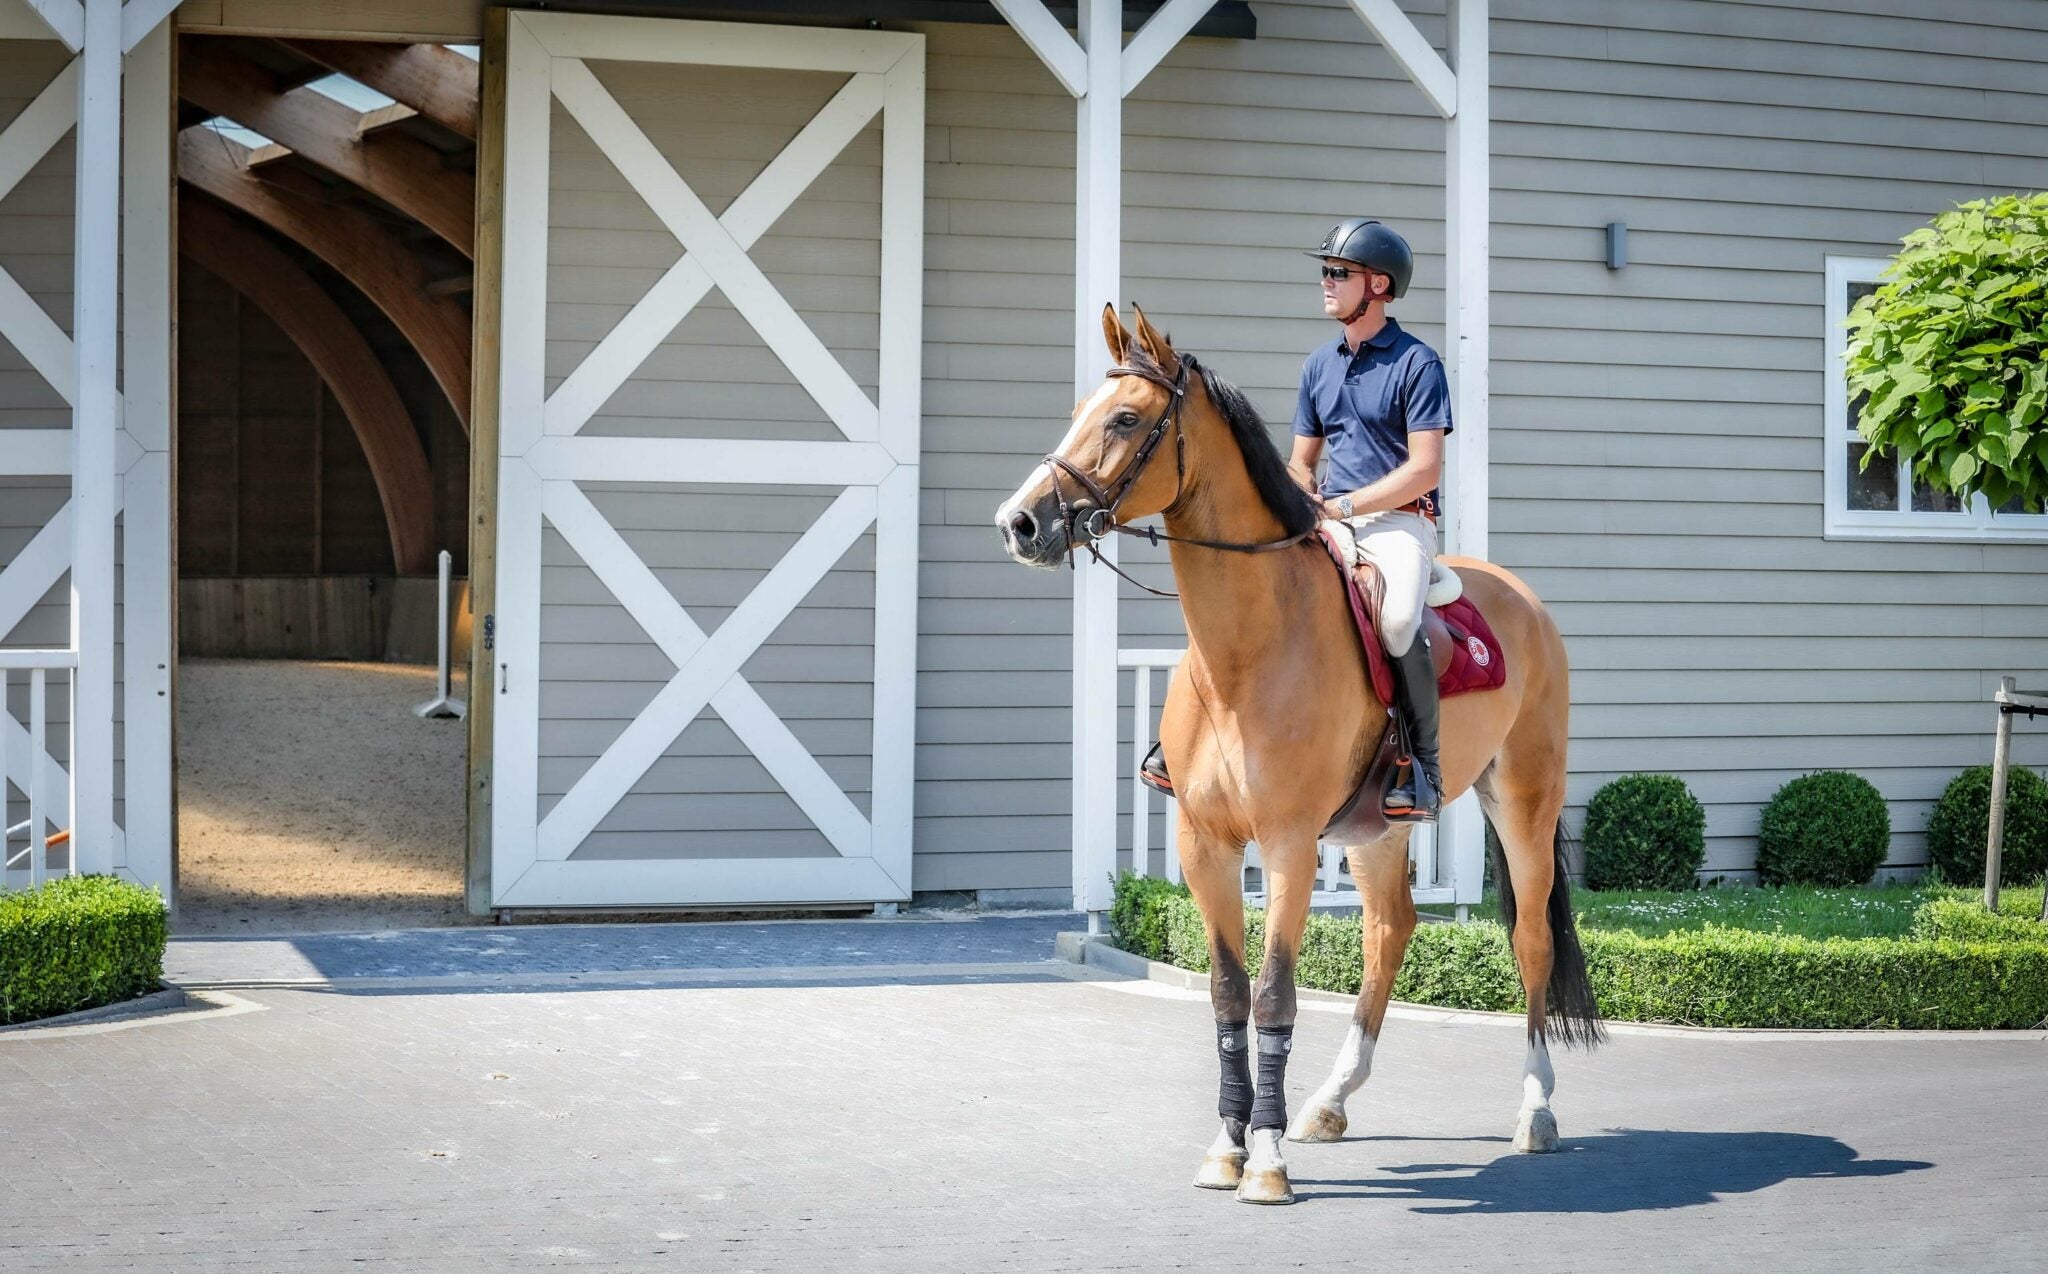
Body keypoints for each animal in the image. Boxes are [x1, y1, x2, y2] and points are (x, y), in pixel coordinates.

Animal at [991, 309, 1597, 1204]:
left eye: (1127, 419)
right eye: (1079, 411)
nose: (1021, 523)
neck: (1246, 653)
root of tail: (1523, 597)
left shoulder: (1284, 847)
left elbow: (1276, 993)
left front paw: (1267, 1159)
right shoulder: (1205, 847)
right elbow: (1227, 993)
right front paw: (1228, 1145)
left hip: (1522, 802)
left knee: (1530, 942)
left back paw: (1536, 1111)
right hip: (1378, 829)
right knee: (1390, 930)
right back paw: (1332, 1101)